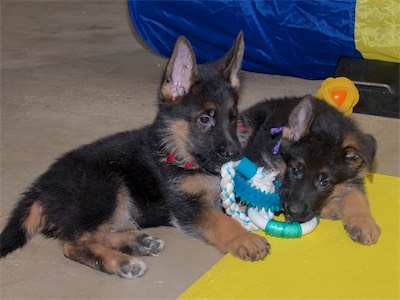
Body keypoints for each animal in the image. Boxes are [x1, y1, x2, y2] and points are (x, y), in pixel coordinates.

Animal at [0, 31, 270, 278]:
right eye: (204, 119)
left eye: (232, 117)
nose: (236, 155)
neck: (175, 150)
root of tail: (41, 186)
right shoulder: (190, 206)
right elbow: (222, 221)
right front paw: (244, 239)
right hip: (106, 189)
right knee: (74, 243)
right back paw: (121, 262)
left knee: (92, 233)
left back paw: (139, 243)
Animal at [239, 96, 380, 246]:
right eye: (294, 170)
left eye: (325, 182)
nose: (294, 212)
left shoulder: (355, 176)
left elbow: (357, 195)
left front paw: (364, 223)